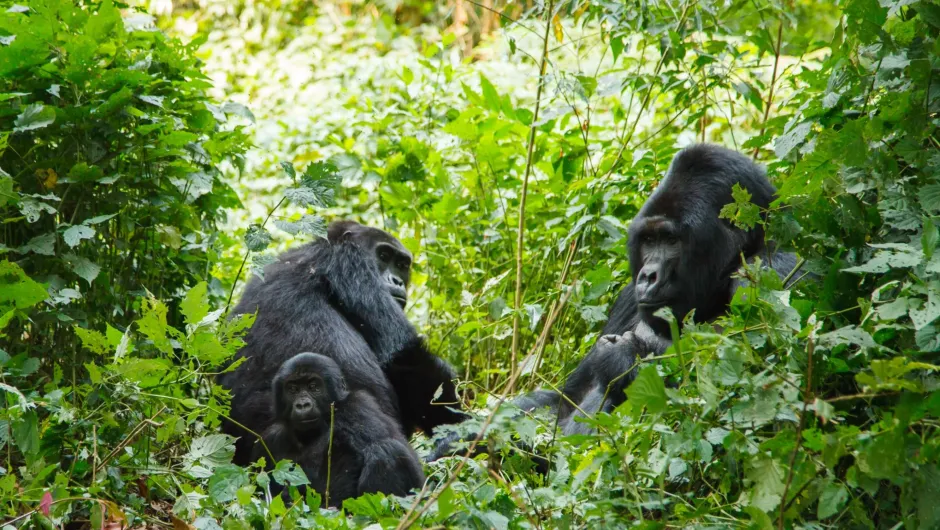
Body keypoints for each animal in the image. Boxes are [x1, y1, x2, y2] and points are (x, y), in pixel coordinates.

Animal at [221, 218, 470, 486]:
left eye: (402, 265)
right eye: (383, 256)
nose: (397, 280)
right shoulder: (351, 263)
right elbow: (406, 356)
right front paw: (462, 433)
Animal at [253, 350, 422, 504]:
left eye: (313, 386)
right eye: (292, 389)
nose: (302, 405)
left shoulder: (357, 408)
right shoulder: (270, 439)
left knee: (386, 450)